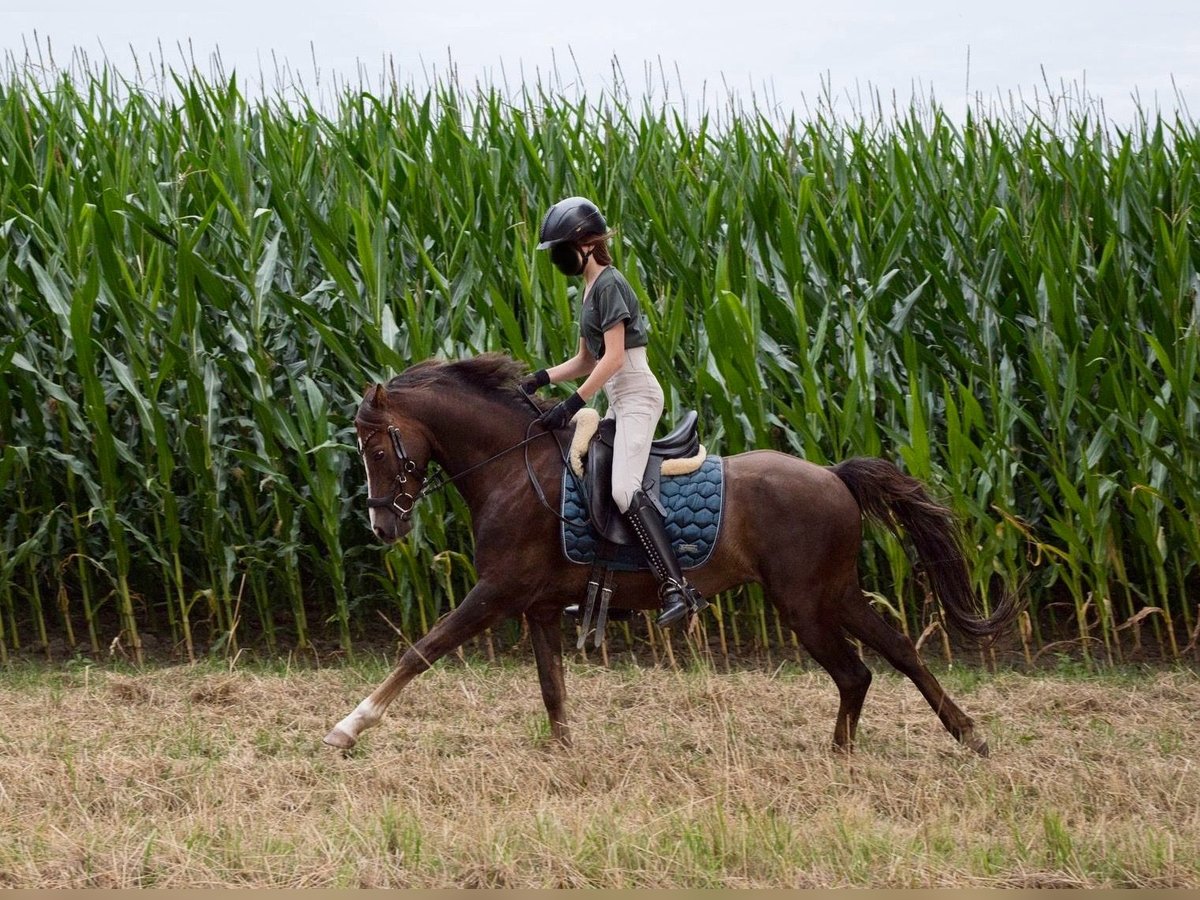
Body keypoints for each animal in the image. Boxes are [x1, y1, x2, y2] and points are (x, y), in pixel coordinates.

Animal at [328, 355, 1022, 758]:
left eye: (378, 448)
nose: (383, 525)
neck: (509, 468)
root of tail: (831, 475)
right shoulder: (539, 607)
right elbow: (552, 688)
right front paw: (565, 755)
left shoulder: (496, 592)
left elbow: (422, 650)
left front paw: (348, 726)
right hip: (834, 593)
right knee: (895, 653)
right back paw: (953, 735)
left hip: (804, 602)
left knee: (857, 671)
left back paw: (852, 751)